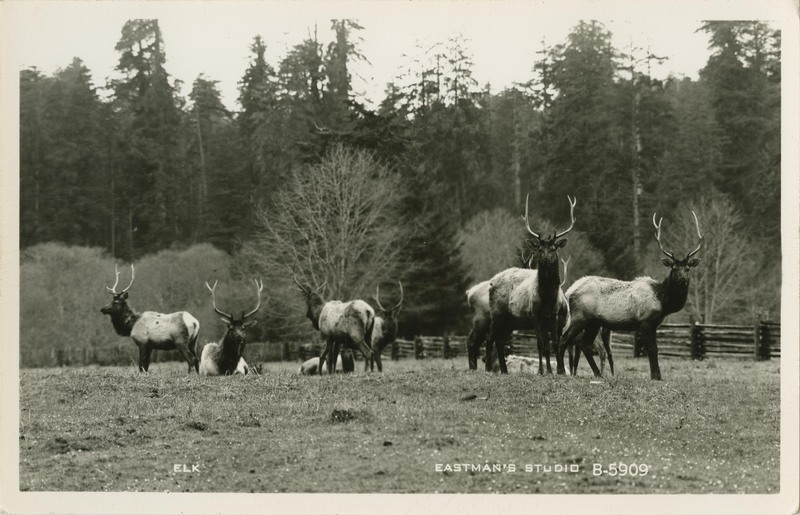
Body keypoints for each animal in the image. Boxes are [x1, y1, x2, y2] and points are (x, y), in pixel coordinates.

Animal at [485, 194, 576, 374]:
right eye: (540, 249)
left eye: (554, 248)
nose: (546, 260)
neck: (547, 297)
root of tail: (492, 282)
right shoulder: (534, 314)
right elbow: (540, 345)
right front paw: (542, 371)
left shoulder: (554, 316)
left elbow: (554, 344)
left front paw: (558, 371)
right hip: (497, 313)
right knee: (491, 338)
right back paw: (491, 369)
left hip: (510, 321)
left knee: (499, 341)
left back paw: (504, 370)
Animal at [556, 211, 703, 380]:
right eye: (673, 268)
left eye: (687, 268)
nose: (683, 280)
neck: (663, 301)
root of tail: (569, 292)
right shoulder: (645, 321)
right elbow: (652, 349)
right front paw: (655, 376)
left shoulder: (654, 324)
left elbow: (655, 349)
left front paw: (657, 375)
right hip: (580, 317)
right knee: (564, 339)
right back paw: (561, 371)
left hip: (594, 322)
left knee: (585, 344)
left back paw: (598, 374)